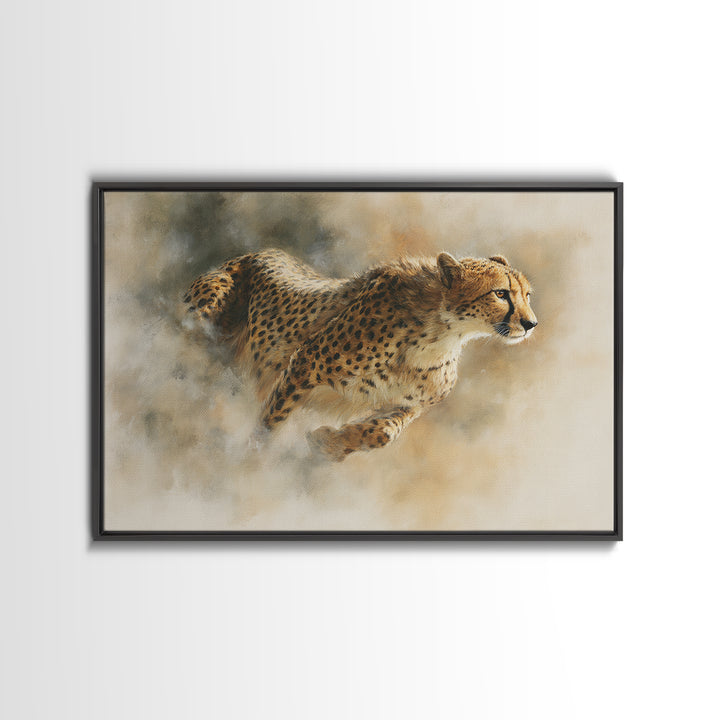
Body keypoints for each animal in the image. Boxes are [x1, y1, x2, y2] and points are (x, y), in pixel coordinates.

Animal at [183, 248, 537, 461]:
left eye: (527, 295)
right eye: (501, 293)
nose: (531, 323)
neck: (439, 332)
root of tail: (262, 251)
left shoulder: (408, 405)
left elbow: (384, 432)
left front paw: (328, 442)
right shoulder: (303, 363)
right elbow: (272, 420)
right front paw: (252, 460)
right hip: (204, 320)